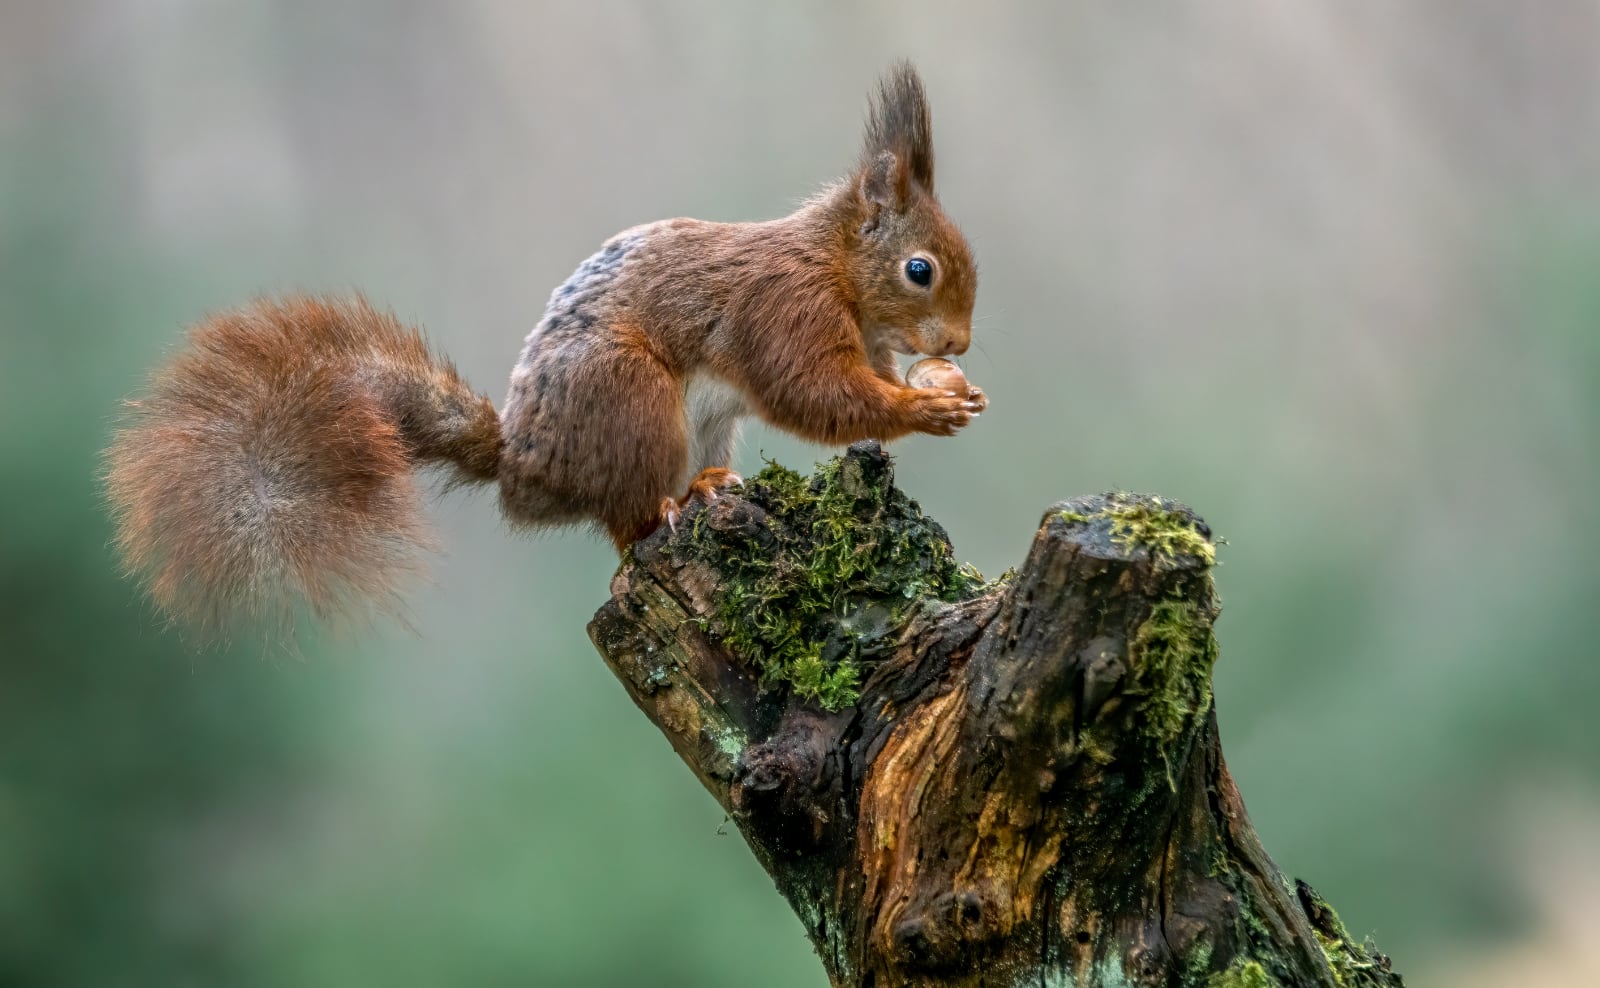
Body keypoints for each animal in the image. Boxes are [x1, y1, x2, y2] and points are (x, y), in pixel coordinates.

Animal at [105, 62, 986, 636]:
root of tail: (522, 468)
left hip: (697, 425)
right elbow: (815, 395)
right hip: (630, 398)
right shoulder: (781, 311)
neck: (833, 265)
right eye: (920, 270)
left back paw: (706, 487)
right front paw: (924, 407)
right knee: (626, 527)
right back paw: (675, 506)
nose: (961, 343)